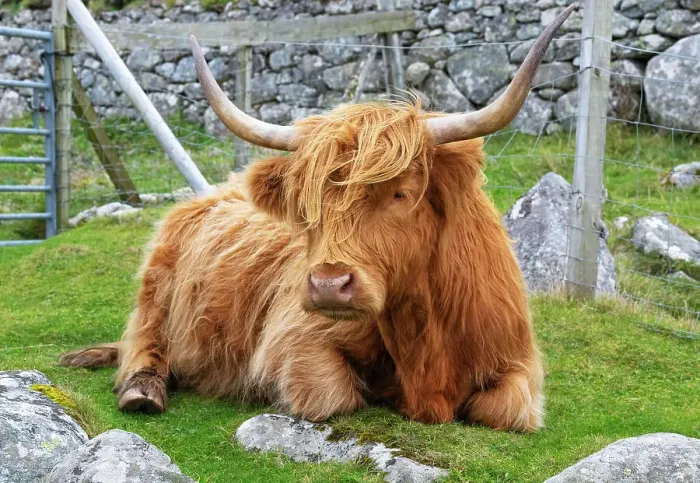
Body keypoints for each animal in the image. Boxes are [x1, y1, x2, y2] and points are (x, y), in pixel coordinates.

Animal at [60, 6, 574, 432]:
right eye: (308, 207)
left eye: (401, 193)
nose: (328, 285)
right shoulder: (296, 343)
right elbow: (333, 396)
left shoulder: (519, 367)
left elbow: (504, 410)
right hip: (157, 288)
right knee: (143, 343)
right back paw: (142, 392)